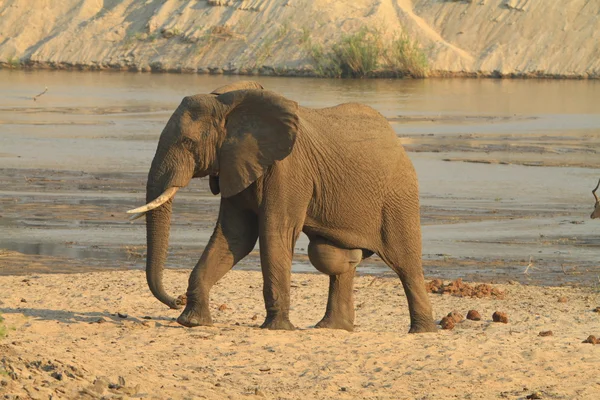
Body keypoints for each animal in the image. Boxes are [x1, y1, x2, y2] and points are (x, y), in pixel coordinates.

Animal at [127, 79, 436, 332]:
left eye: (188, 142)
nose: (175, 301)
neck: (227, 103)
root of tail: (397, 141)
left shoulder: (287, 169)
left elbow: (275, 232)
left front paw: (277, 328)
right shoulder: (236, 163)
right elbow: (235, 236)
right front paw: (191, 322)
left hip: (398, 197)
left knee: (405, 262)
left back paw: (422, 331)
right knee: (337, 258)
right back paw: (331, 328)